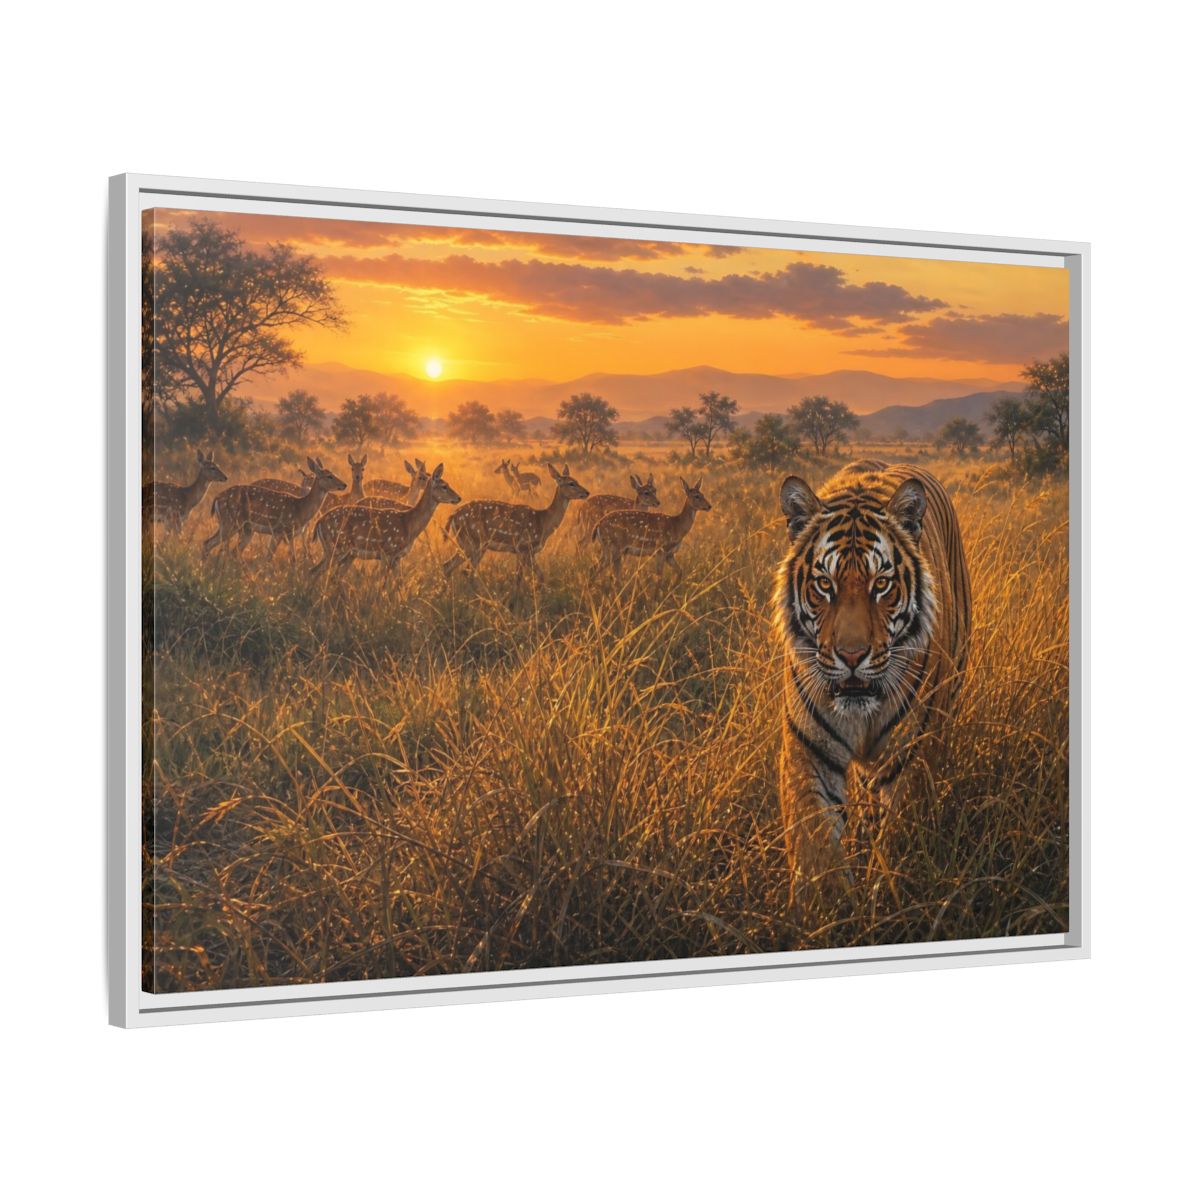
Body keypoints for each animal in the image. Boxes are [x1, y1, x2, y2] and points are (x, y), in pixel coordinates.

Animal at [202, 456, 347, 563]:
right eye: (329, 476)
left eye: (333, 473)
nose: (344, 484)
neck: (300, 509)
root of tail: (217, 498)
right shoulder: (281, 530)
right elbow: (274, 557)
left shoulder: (288, 534)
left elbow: (287, 558)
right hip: (231, 521)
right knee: (209, 543)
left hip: (244, 528)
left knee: (228, 549)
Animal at [311, 463, 460, 578]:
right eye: (444, 486)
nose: (459, 497)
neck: (409, 523)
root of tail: (319, 522)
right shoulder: (387, 552)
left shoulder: (397, 558)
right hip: (337, 547)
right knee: (315, 571)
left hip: (344, 552)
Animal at [443, 463, 588, 583]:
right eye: (571, 483)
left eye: (577, 480)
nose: (587, 492)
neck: (543, 522)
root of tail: (453, 516)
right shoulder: (523, 546)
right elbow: (519, 578)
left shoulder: (527, 552)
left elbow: (540, 576)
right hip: (475, 541)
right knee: (466, 571)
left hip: (465, 542)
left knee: (448, 566)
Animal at [772, 460, 971, 885]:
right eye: (824, 584)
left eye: (881, 584)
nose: (851, 655)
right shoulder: (808, 750)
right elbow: (815, 848)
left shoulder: (911, 753)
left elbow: (900, 843)